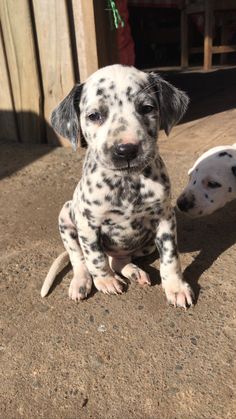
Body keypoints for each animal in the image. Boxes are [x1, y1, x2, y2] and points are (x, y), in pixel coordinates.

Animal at [41, 65, 194, 308]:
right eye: (94, 116)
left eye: (146, 108)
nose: (126, 150)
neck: (126, 183)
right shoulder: (88, 225)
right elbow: (95, 257)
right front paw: (105, 281)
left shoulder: (165, 219)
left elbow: (170, 258)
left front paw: (176, 287)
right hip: (66, 216)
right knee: (79, 258)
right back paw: (82, 282)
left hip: (147, 243)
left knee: (118, 261)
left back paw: (134, 272)